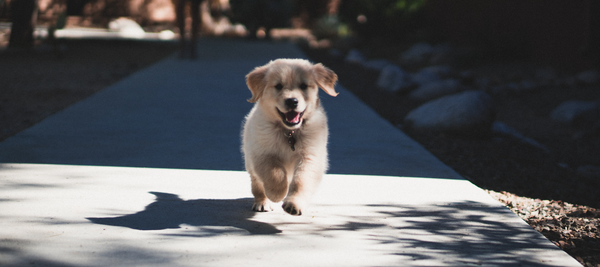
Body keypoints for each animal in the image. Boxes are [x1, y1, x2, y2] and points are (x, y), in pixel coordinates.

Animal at [243, 58, 338, 216]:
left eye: (304, 86)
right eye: (278, 86)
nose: (292, 101)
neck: (289, 132)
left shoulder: (310, 156)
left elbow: (301, 181)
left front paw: (294, 204)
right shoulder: (262, 153)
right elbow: (275, 173)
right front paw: (277, 194)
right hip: (250, 161)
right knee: (257, 185)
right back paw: (262, 202)